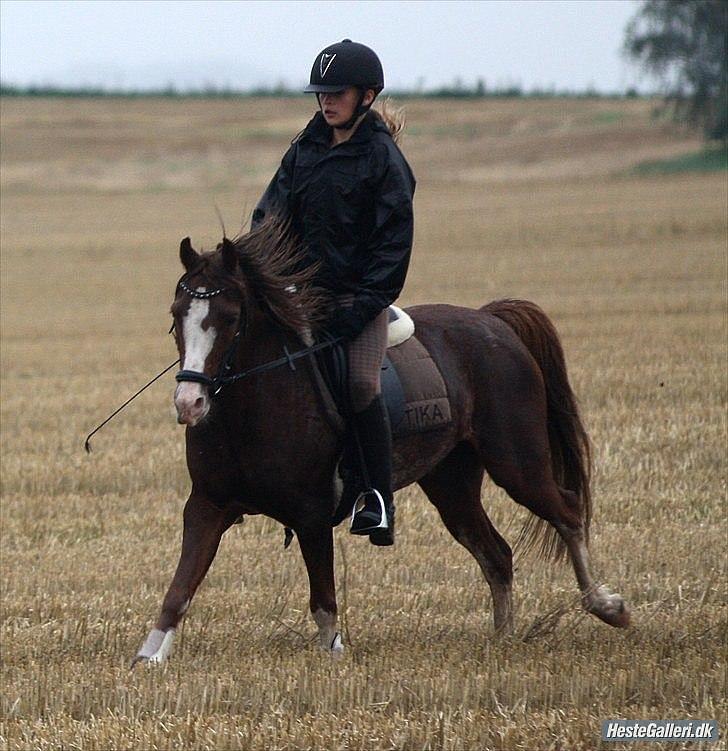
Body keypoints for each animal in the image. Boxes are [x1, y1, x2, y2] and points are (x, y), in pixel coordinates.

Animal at [133, 219, 630, 665]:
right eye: (176, 315)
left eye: (231, 318)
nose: (190, 403)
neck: (254, 408)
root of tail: (492, 321)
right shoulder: (207, 506)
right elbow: (179, 590)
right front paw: (149, 657)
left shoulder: (311, 514)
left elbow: (324, 600)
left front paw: (333, 655)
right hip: (451, 483)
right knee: (496, 554)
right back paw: (503, 638)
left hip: (517, 462)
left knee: (567, 511)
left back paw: (607, 606)